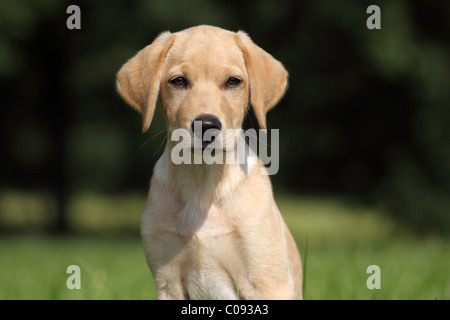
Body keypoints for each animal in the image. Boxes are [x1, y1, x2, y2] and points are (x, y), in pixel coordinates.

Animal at [116, 25, 302, 300]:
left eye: (233, 81)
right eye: (178, 81)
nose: (206, 125)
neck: (202, 181)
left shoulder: (268, 281)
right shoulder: (167, 281)